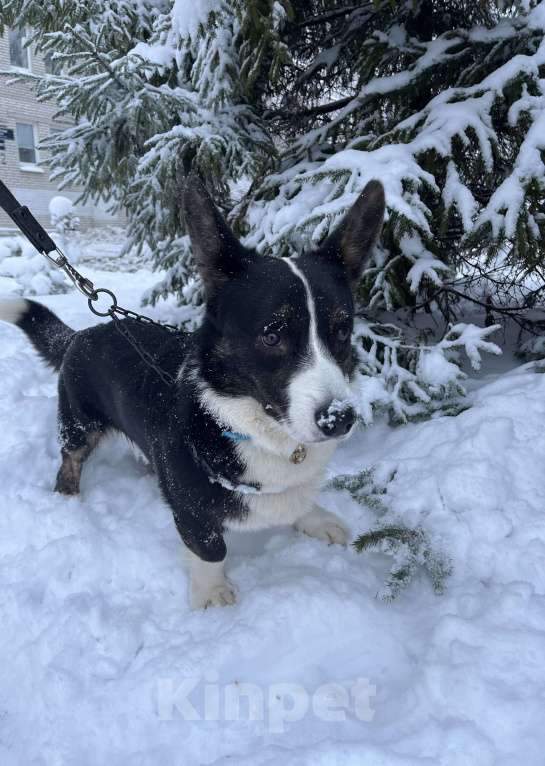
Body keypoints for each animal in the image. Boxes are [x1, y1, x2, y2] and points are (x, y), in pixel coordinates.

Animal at [0, 176, 384, 612]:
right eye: (271, 335)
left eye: (341, 330)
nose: (340, 419)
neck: (255, 425)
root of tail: (79, 334)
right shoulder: (192, 511)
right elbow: (209, 547)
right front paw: (212, 594)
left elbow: (297, 499)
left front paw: (315, 519)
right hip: (78, 425)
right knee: (70, 462)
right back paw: (68, 502)